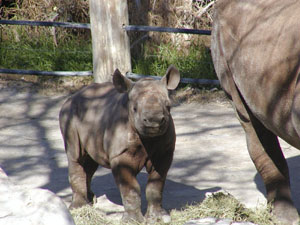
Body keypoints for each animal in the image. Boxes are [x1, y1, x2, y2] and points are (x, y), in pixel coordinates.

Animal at [59, 65, 179, 223]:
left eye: (168, 106)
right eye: (134, 108)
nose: (154, 121)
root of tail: (72, 97)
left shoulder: (164, 153)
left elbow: (156, 185)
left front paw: (159, 218)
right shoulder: (120, 155)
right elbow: (131, 188)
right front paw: (132, 221)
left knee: (89, 163)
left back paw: (91, 200)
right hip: (69, 114)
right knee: (76, 156)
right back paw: (79, 208)